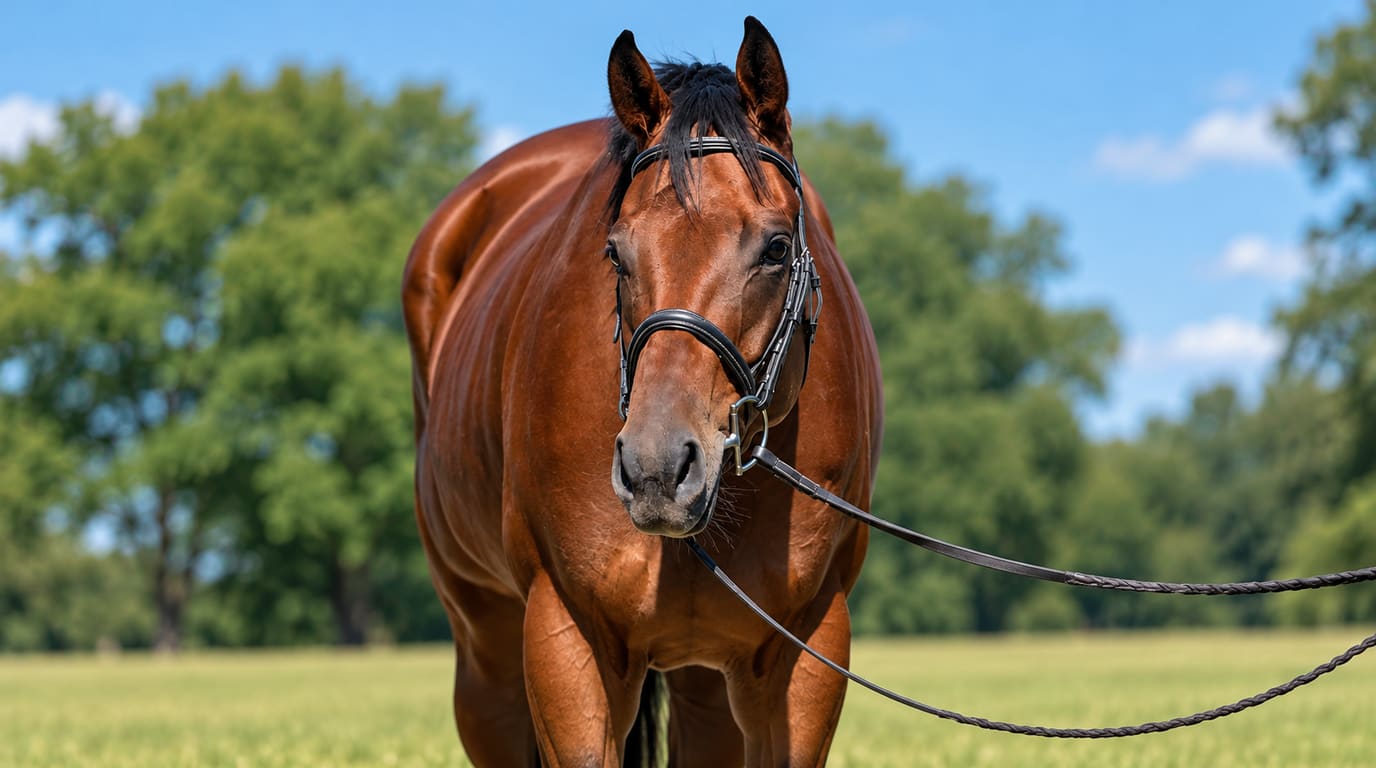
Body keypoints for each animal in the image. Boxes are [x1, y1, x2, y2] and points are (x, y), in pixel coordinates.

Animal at [403, 17, 882, 766]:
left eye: (777, 248)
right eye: (615, 253)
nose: (657, 467)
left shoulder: (810, 647)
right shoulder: (564, 640)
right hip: (485, 657)